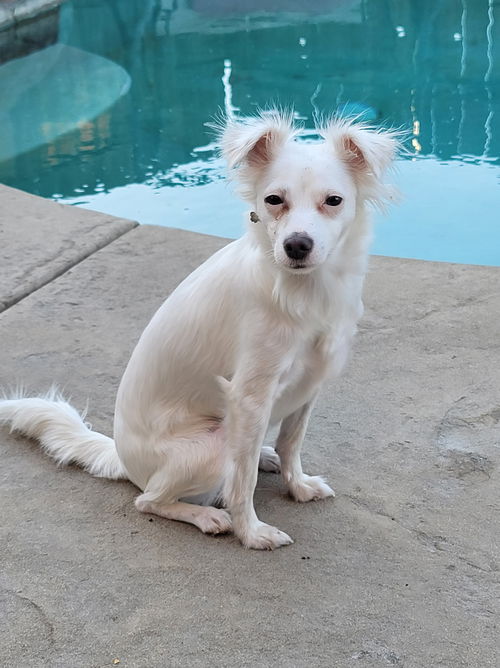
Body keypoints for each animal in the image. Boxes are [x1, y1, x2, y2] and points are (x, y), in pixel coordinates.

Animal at [0, 111, 398, 548]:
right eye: (273, 201)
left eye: (334, 201)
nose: (296, 245)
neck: (305, 289)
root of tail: (122, 458)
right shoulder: (250, 396)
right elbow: (242, 481)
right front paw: (251, 532)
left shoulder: (310, 382)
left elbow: (292, 443)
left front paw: (298, 486)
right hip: (213, 440)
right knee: (151, 499)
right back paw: (207, 515)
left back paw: (265, 456)